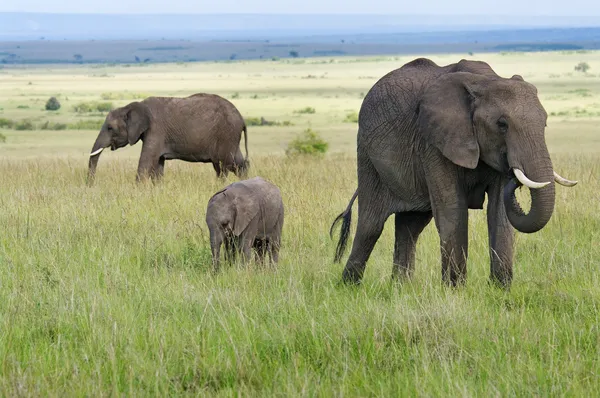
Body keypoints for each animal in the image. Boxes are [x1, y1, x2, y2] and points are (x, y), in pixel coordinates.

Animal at [86, 92, 248, 183]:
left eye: (110, 128)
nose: (91, 185)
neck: (131, 107)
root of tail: (242, 118)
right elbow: (158, 165)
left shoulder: (156, 130)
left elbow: (146, 162)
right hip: (231, 137)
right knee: (239, 163)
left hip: (226, 134)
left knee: (223, 166)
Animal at [330, 57, 580, 288]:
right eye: (502, 124)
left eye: (545, 123)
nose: (514, 176)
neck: (484, 81)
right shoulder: (433, 141)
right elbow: (453, 210)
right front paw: (455, 290)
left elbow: (499, 212)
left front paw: (500, 290)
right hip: (367, 156)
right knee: (371, 225)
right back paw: (350, 287)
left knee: (410, 226)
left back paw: (401, 289)